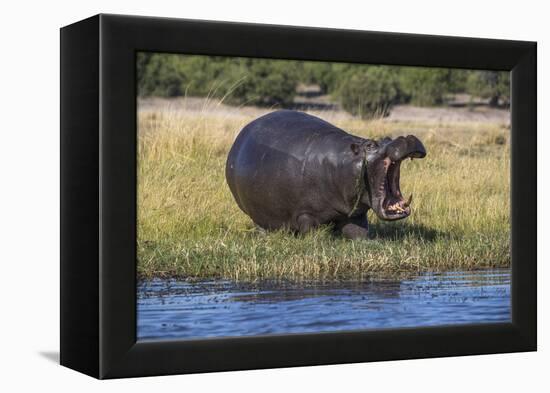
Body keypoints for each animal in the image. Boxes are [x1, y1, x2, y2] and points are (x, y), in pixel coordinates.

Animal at [226, 109, 430, 239]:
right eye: (371, 144)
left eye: (387, 138)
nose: (405, 137)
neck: (345, 162)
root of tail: (240, 137)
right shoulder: (306, 214)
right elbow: (312, 233)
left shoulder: (354, 214)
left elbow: (359, 233)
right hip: (257, 214)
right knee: (262, 225)